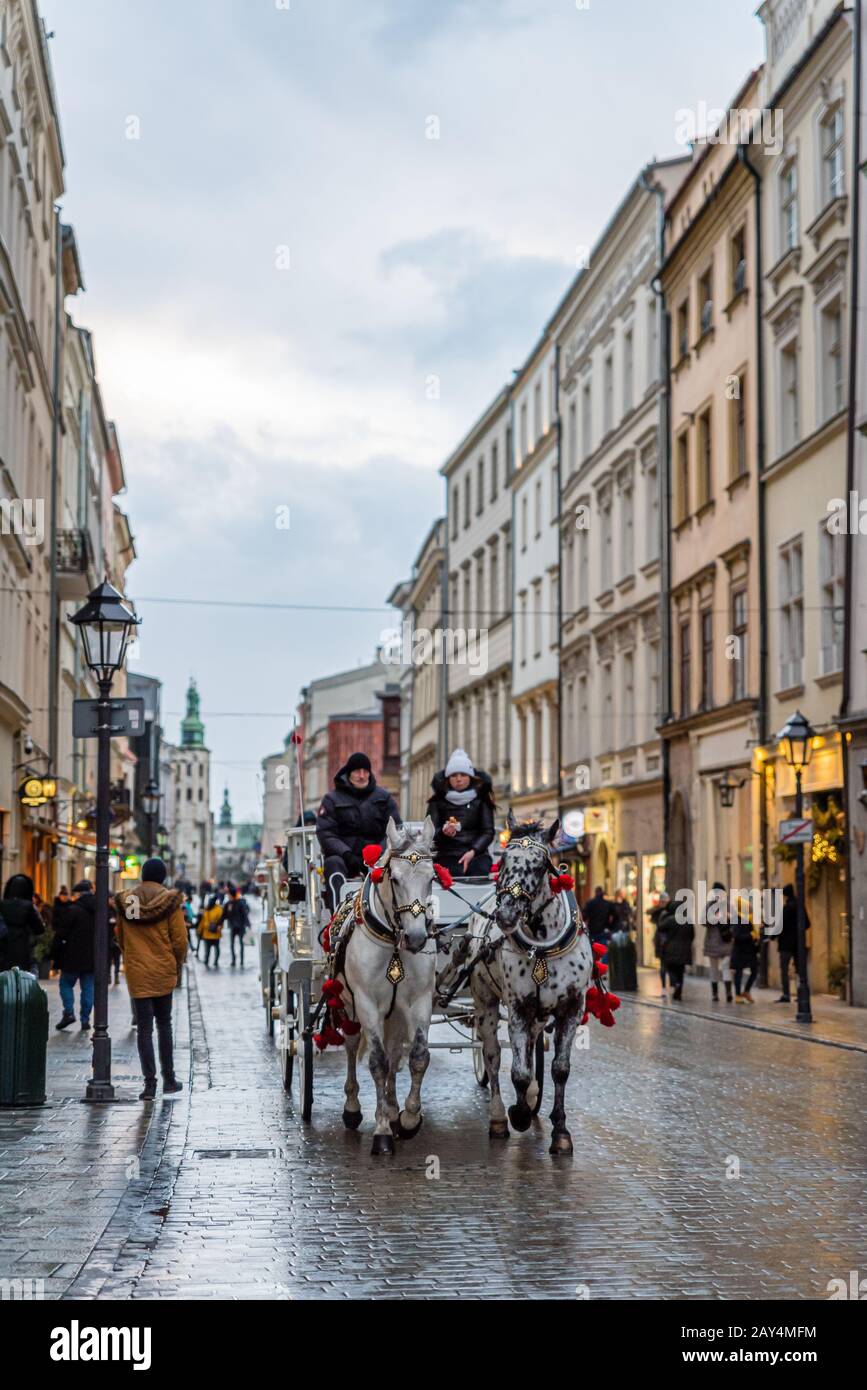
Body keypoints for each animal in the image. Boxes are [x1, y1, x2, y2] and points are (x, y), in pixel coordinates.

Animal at [334, 817, 436, 1156]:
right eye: (395, 878)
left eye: (432, 878)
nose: (416, 938)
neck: (393, 943)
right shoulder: (367, 1004)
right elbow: (377, 1063)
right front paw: (381, 1132)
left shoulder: (419, 1001)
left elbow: (418, 1057)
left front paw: (408, 1118)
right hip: (348, 1006)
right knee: (353, 1045)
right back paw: (353, 1108)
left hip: (395, 1015)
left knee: (394, 1052)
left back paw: (392, 1110)